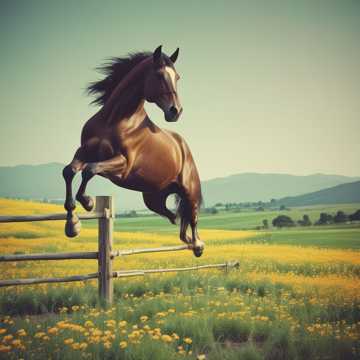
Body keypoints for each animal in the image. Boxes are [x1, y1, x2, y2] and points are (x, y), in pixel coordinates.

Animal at [61, 46, 202, 258]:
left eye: (177, 77)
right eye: (159, 75)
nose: (176, 111)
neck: (115, 120)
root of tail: (182, 146)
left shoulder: (123, 165)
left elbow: (90, 169)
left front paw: (88, 203)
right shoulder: (84, 151)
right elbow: (69, 171)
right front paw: (72, 225)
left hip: (188, 190)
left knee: (191, 215)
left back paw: (198, 245)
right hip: (153, 198)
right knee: (175, 216)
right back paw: (186, 238)